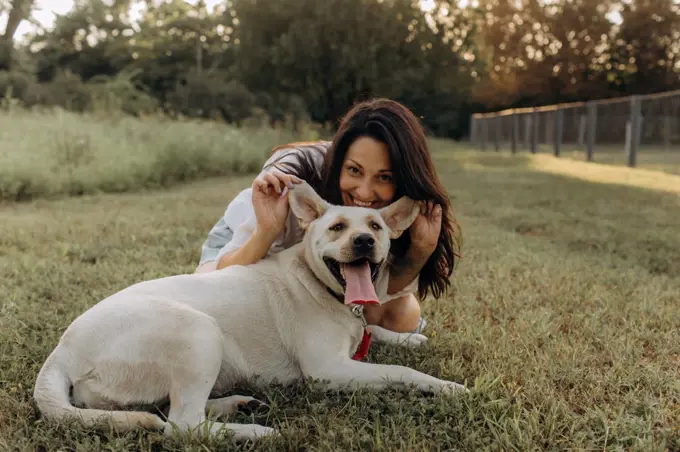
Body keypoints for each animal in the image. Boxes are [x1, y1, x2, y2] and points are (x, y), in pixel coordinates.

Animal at [33, 181, 468, 442]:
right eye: (337, 227)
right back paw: (254, 431)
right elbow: (400, 371)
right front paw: (445, 385)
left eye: (376, 226)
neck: (321, 285)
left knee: (172, 409)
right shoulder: (329, 370)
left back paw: (237, 404)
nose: (363, 241)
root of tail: (61, 353)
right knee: (182, 426)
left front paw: (408, 337)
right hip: (199, 331)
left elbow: (376, 333)